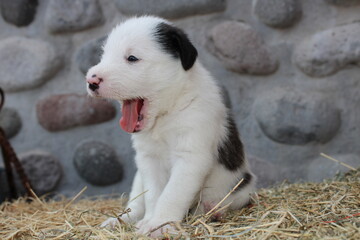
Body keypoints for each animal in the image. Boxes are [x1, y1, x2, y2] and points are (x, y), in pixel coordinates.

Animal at [86, 16, 256, 236]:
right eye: (104, 56)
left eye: (132, 58)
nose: (91, 80)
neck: (167, 112)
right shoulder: (148, 160)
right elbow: (153, 194)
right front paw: (150, 221)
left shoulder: (190, 158)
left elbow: (171, 195)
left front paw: (160, 224)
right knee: (136, 204)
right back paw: (120, 220)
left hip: (241, 189)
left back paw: (213, 211)